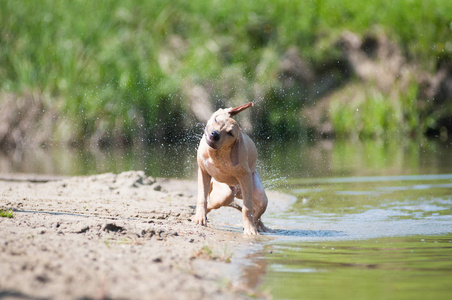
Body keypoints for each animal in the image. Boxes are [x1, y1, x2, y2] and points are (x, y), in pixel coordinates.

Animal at [192, 102, 268, 236]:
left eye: (230, 133)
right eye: (216, 119)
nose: (214, 134)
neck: (216, 154)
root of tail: (237, 192)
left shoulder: (245, 177)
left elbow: (247, 208)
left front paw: (250, 228)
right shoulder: (203, 171)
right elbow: (202, 197)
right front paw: (200, 217)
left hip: (258, 194)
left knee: (256, 208)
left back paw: (256, 225)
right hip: (223, 192)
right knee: (213, 203)